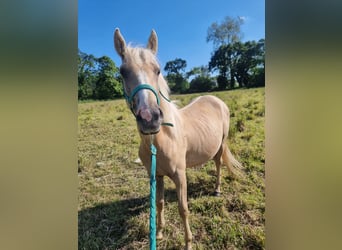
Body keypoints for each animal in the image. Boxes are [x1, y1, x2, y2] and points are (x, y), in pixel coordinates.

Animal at [113, 28, 242, 249]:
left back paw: (217, 190)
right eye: (123, 72)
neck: (159, 141)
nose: (149, 118)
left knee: (218, 164)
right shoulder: (156, 175)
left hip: (221, 144)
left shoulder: (180, 176)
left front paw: (188, 243)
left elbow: (183, 209)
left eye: (157, 70)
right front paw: (159, 233)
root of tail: (217, 100)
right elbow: (160, 203)